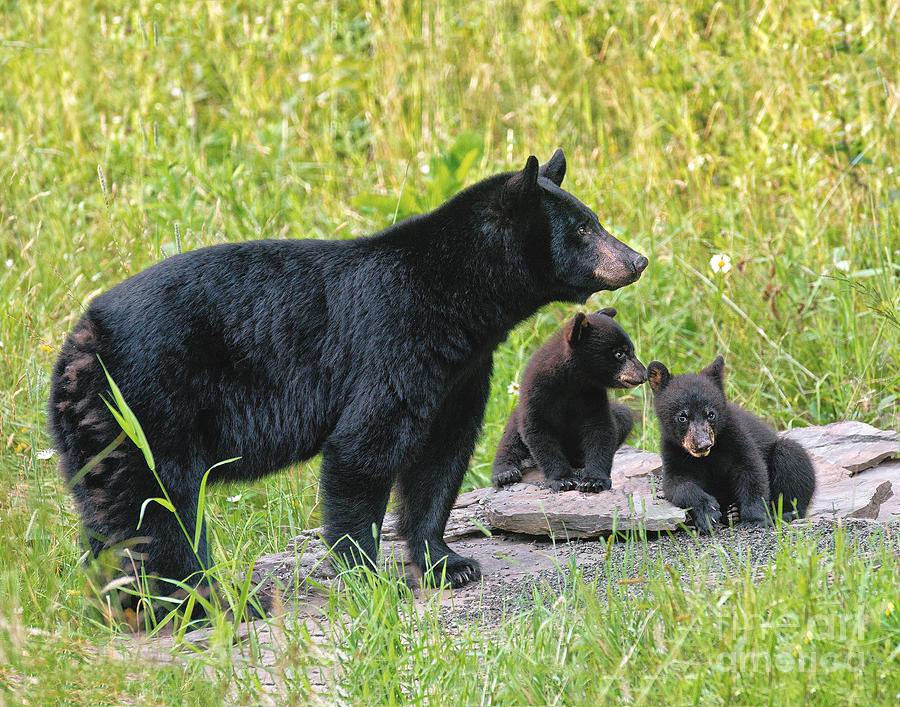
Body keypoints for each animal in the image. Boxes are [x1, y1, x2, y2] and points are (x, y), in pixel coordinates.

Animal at [492, 306, 648, 496]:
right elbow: (538, 432)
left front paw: (594, 480)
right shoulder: (536, 394)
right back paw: (505, 472)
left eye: (632, 350)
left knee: (624, 416)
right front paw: (563, 479)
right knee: (510, 437)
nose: (644, 374)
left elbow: (600, 429)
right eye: (619, 353)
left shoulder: (592, 394)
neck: (571, 381)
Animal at [648, 356, 816, 532]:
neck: (706, 457)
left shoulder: (736, 436)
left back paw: (783, 513)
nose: (703, 444)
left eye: (711, 414)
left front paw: (755, 519)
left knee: (790, 459)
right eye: (683, 417)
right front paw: (707, 514)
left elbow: (752, 471)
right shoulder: (672, 450)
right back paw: (731, 513)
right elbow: (678, 485)